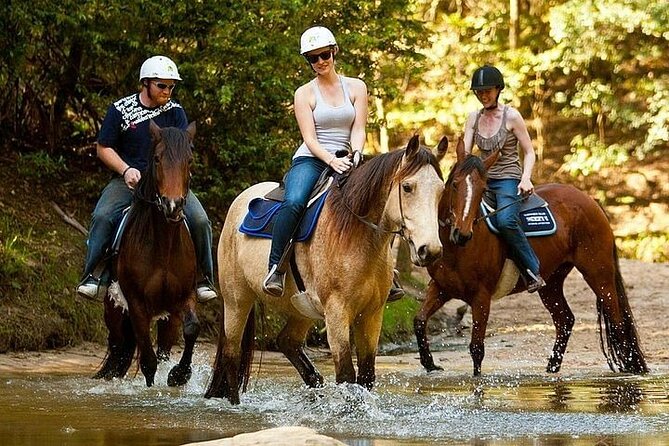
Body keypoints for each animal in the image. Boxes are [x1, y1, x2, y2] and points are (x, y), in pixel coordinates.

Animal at [94, 121, 200, 386]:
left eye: (190, 160)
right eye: (157, 159)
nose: (172, 205)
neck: (163, 246)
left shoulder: (183, 298)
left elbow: (192, 329)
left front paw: (179, 375)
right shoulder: (137, 305)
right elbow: (148, 363)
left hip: (167, 318)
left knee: (160, 349)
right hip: (114, 311)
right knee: (119, 346)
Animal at [204, 135, 444, 404]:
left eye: (440, 190)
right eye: (408, 187)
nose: (430, 250)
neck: (356, 235)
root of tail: (239, 203)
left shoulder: (372, 313)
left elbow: (366, 376)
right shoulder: (337, 312)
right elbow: (347, 376)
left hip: (301, 309)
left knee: (286, 342)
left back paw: (315, 386)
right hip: (237, 300)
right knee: (231, 354)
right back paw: (235, 404)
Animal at [412, 137, 648, 376]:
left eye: (482, 189)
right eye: (454, 184)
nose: (462, 233)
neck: (457, 250)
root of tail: (590, 200)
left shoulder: (481, 297)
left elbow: (476, 349)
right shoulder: (440, 287)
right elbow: (419, 321)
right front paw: (429, 363)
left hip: (599, 274)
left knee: (616, 320)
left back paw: (630, 367)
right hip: (551, 282)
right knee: (565, 320)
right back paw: (551, 368)